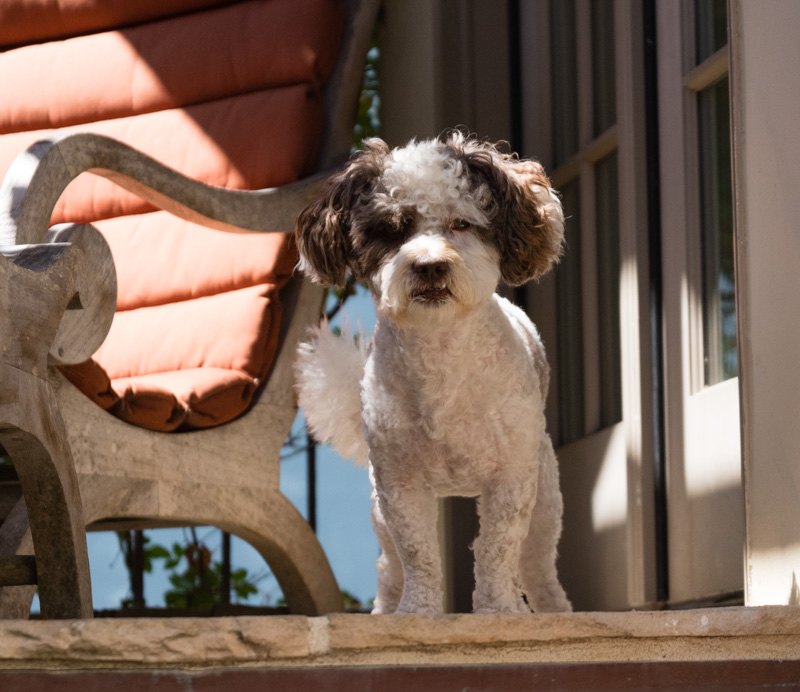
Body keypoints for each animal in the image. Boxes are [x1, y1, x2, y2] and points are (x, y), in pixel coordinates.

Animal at [294, 132, 568, 612]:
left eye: (461, 223)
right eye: (392, 228)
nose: (430, 265)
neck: (441, 358)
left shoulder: (511, 478)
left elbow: (495, 550)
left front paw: (498, 611)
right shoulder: (399, 484)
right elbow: (418, 554)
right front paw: (417, 613)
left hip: (545, 505)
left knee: (538, 571)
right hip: (379, 512)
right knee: (390, 569)